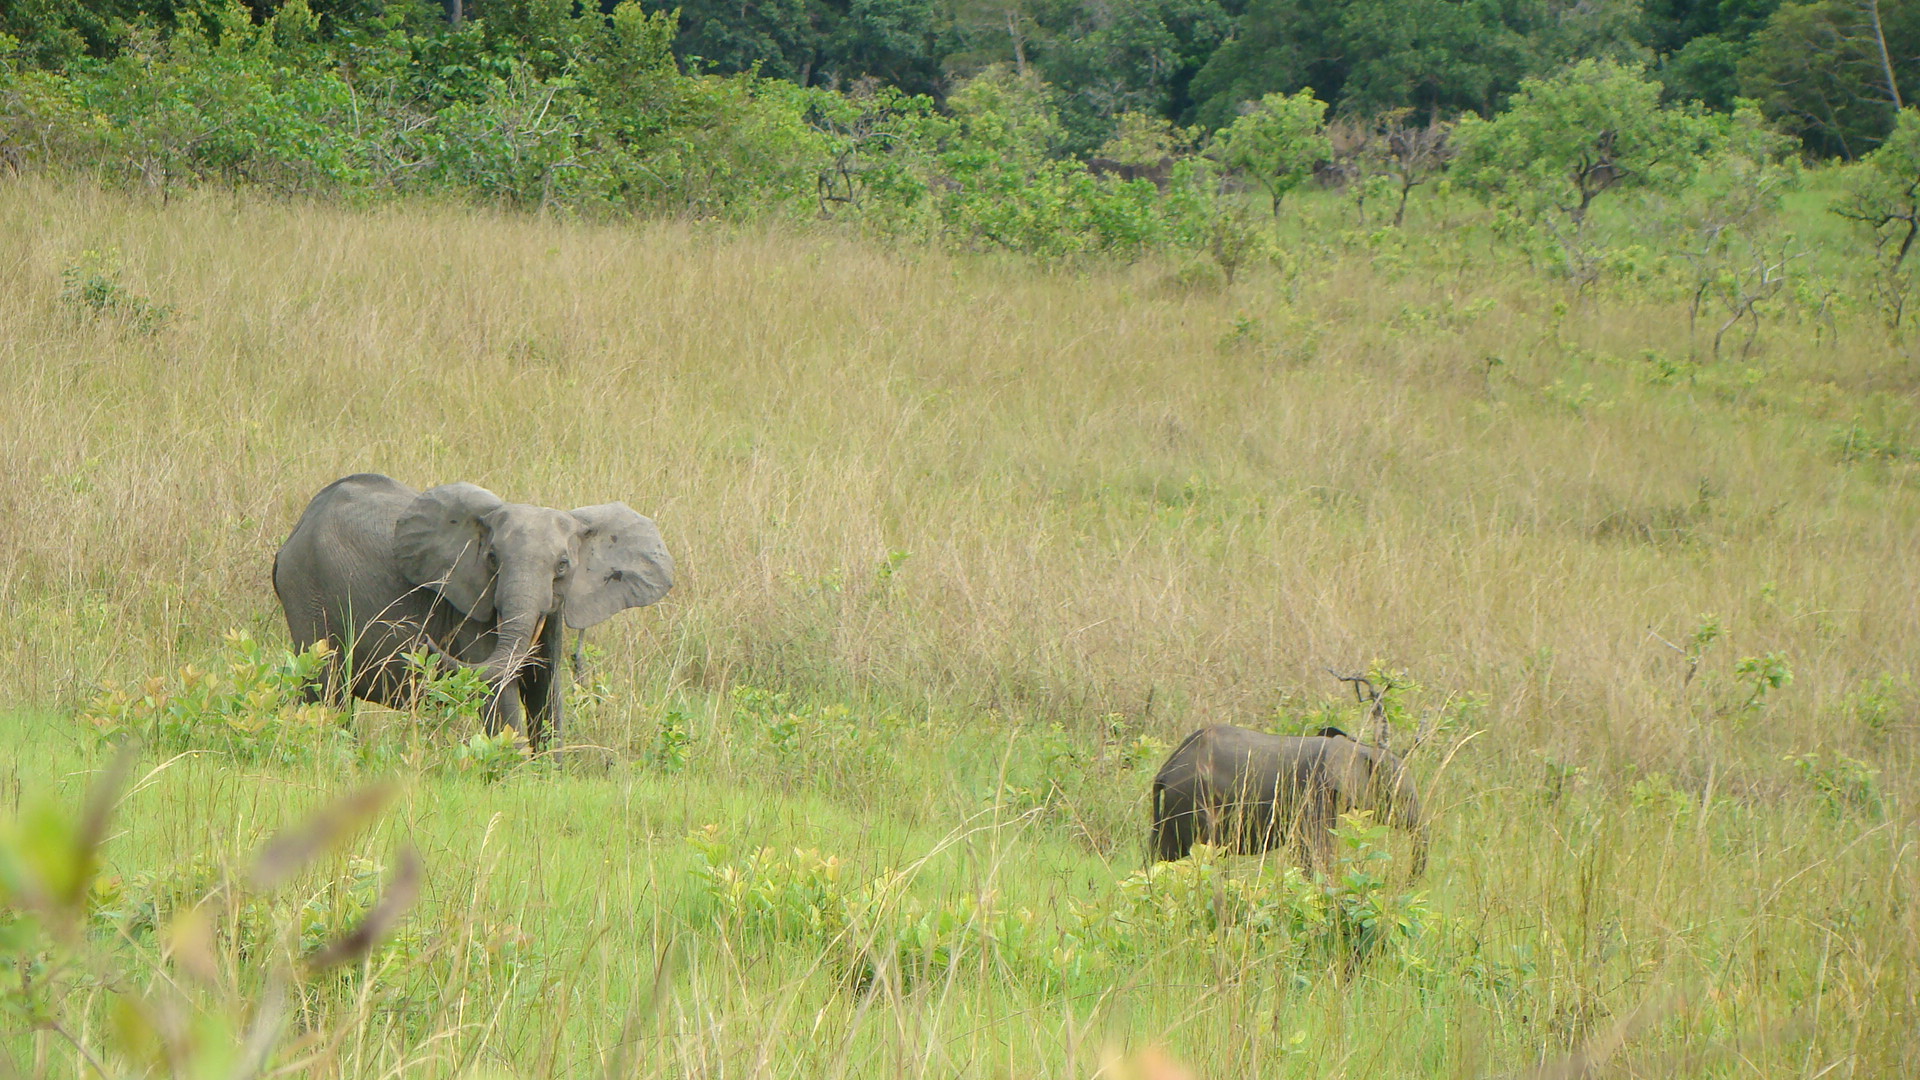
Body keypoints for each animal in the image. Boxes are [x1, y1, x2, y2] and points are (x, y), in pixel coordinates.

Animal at [272, 470, 675, 749]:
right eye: (493, 558)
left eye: (563, 566)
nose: (425, 646)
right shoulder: (469, 606)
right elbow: (499, 689)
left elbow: (547, 690)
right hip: (307, 592)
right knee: (327, 689)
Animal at [1144, 722, 1436, 876]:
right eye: (1400, 793)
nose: (1408, 882)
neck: (1355, 746)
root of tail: (1167, 767)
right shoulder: (1313, 792)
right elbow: (1315, 849)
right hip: (1194, 799)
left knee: (1165, 853)